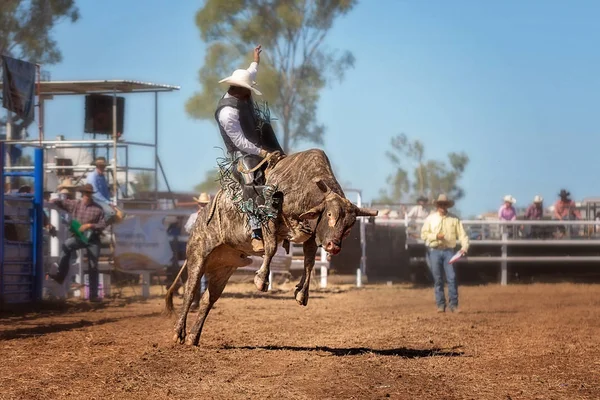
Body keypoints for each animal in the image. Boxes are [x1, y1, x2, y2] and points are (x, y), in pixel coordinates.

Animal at [166, 148, 378, 346]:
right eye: (329, 215)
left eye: (350, 225)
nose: (333, 246)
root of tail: (200, 219)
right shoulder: (270, 219)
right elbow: (271, 248)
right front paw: (261, 280)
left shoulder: (311, 235)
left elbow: (309, 262)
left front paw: (302, 293)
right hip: (198, 255)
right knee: (190, 291)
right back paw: (179, 333)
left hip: (224, 268)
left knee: (207, 299)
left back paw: (193, 336)